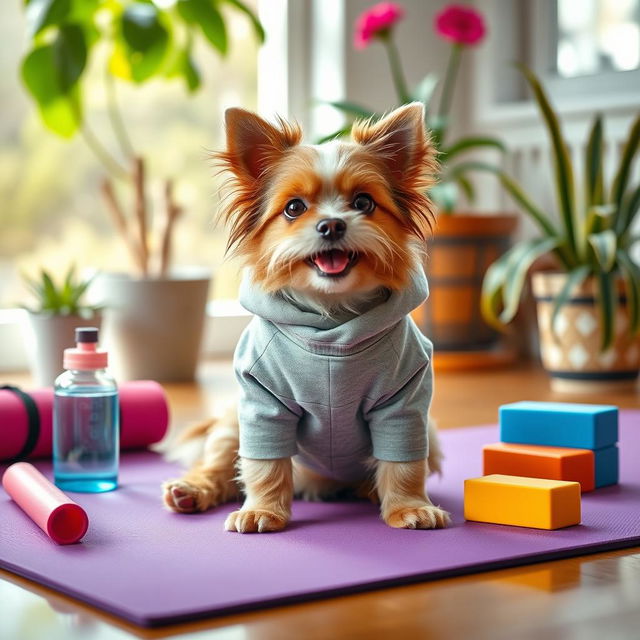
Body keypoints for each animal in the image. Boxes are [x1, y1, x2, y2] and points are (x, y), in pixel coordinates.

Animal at [162, 102, 450, 532]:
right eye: (294, 208)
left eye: (363, 203)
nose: (331, 225)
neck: (333, 323)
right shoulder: (262, 405)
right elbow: (264, 466)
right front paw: (263, 510)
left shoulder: (406, 405)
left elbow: (404, 464)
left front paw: (408, 507)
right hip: (232, 423)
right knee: (220, 470)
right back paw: (191, 491)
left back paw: (369, 490)